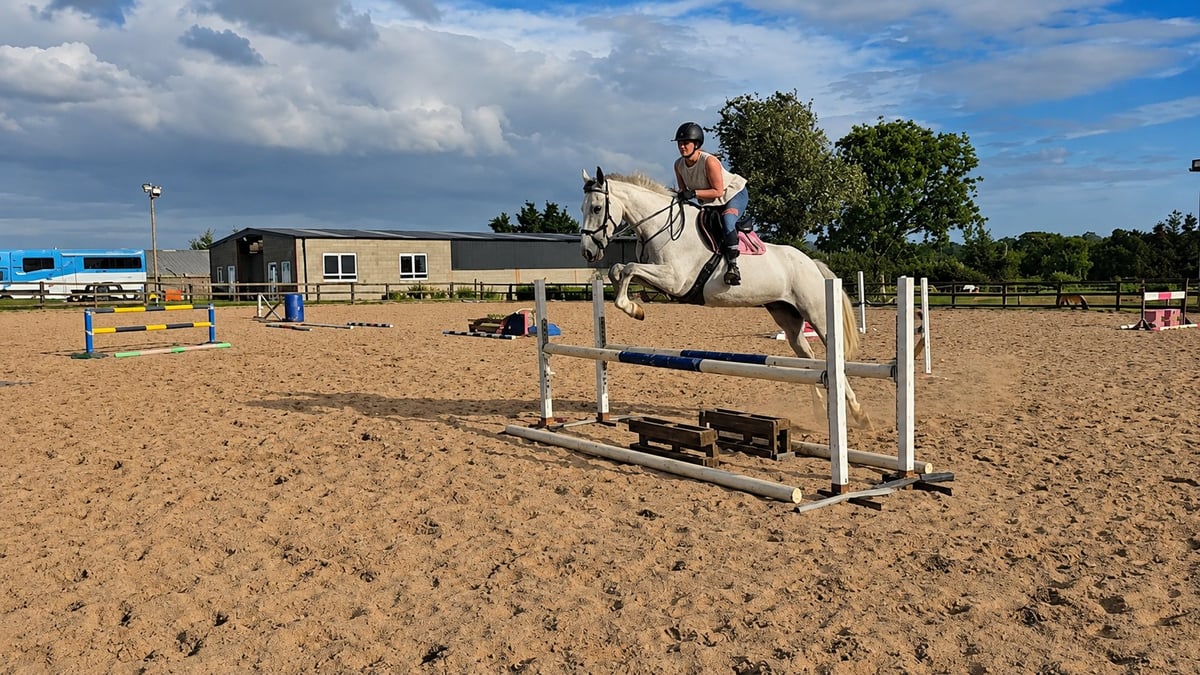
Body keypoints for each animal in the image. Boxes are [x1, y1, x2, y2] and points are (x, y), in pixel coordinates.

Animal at [579, 167, 870, 428]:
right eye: (582, 208)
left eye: (596, 208)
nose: (587, 252)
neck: (661, 227)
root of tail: (811, 262)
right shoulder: (659, 277)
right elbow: (619, 270)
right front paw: (634, 307)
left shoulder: (675, 279)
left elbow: (628, 268)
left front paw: (632, 309)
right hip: (787, 316)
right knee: (808, 357)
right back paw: (821, 410)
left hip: (818, 315)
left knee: (832, 356)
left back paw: (859, 413)